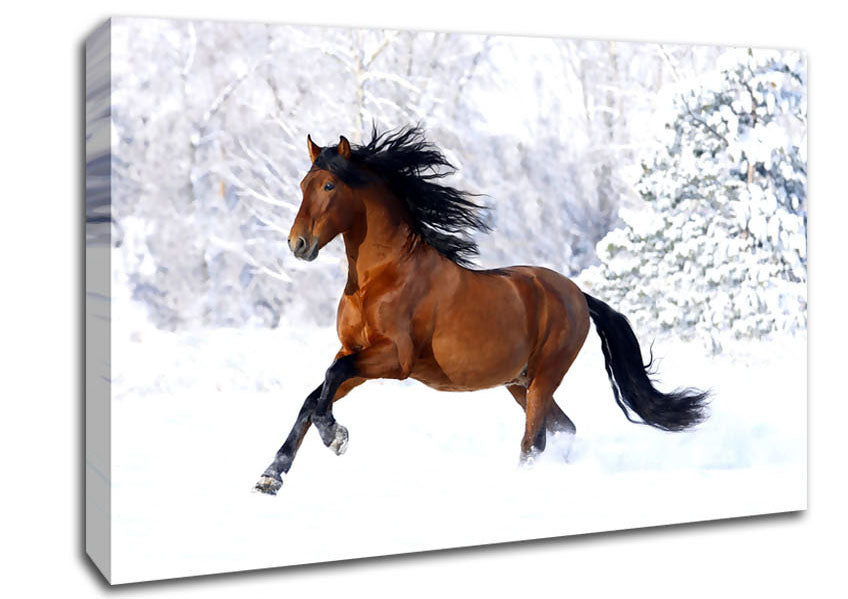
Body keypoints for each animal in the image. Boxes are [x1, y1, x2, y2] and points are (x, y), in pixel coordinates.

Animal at [254, 127, 708, 495]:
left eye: (330, 185)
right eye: (303, 184)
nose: (297, 244)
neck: (381, 278)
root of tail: (577, 294)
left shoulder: (393, 359)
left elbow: (330, 381)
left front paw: (336, 437)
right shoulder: (354, 352)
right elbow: (314, 397)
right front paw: (271, 476)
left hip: (544, 376)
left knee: (533, 441)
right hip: (519, 383)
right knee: (563, 428)